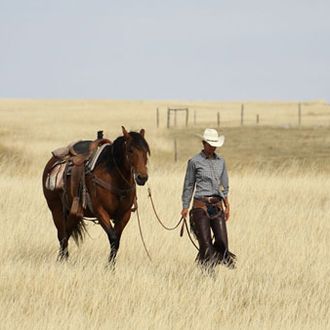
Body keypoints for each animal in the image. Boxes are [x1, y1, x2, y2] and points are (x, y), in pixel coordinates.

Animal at [42, 127, 150, 264]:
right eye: (130, 150)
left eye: (146, 151)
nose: (142, 177)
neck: (114, 178)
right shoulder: (100, 211)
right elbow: (113, 237)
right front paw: (109, 266)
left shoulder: (125, 215)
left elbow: (117, 240)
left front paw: (111, 265)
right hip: (56, 209)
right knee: (62, 234)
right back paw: (62, 259)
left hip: (74, 212)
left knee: (67, 232)